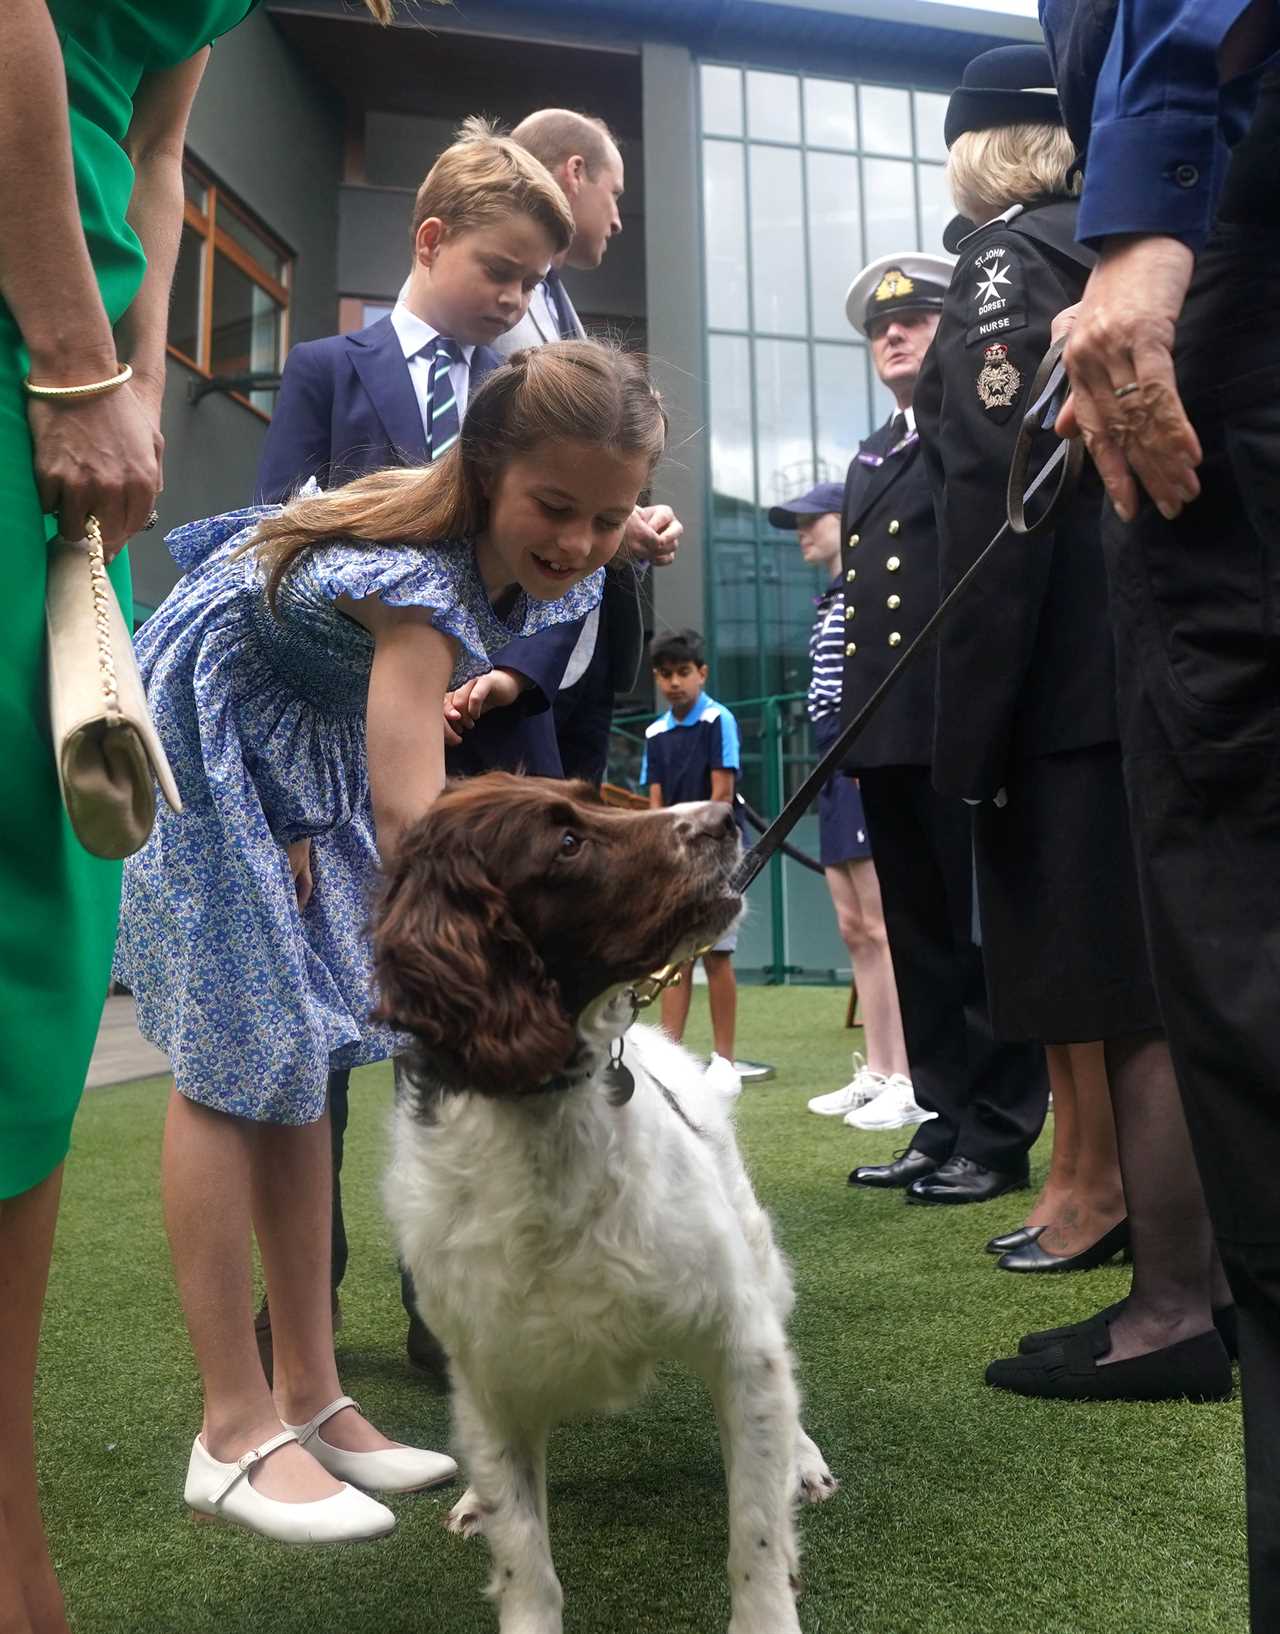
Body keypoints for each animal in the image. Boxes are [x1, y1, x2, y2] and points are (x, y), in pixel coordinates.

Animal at [375, 777, 836, 1634]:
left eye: (596, 798)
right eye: (566, 843)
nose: (727, 815)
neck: (547, 1120)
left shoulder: (737, 1337)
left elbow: (755, 1534)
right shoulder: (490, 1376)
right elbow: (525, 1557)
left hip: (760, 1261)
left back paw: (805, 1460)